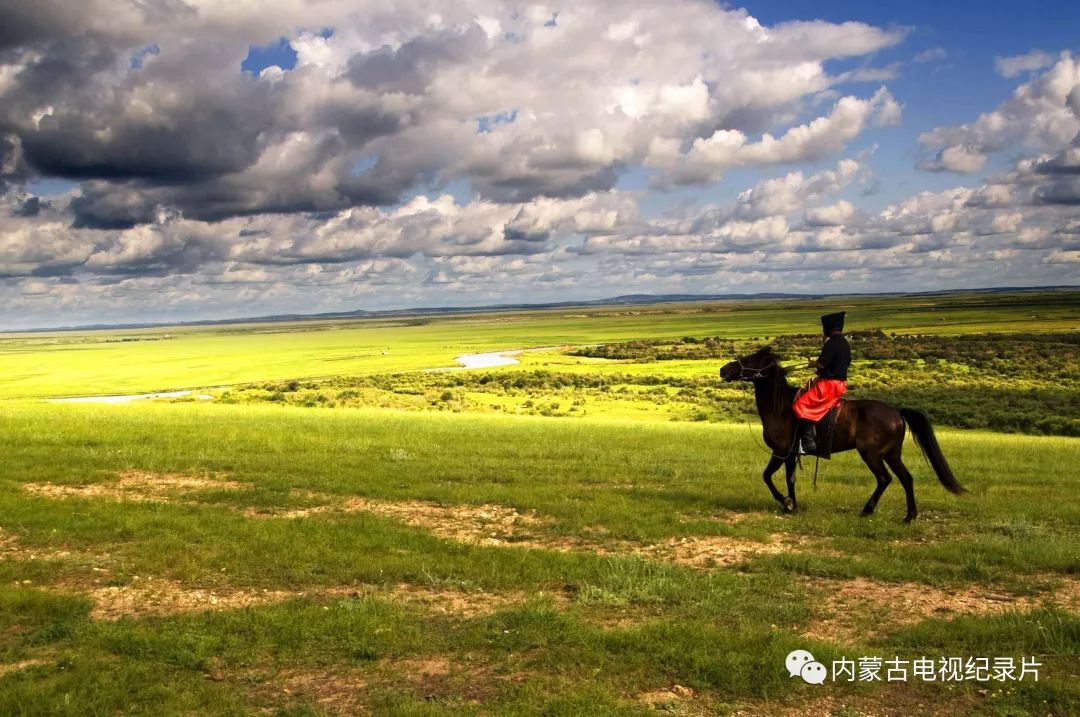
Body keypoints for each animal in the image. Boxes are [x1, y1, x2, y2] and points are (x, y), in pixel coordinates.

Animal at [721, 345, 967, 520]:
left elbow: (770, 477)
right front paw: (791, 505)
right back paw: (909, 516)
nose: (724, 370)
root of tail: (897, 411)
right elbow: (787, 479)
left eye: (749, 360)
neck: (780, 407)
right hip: (891, 454)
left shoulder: (781, 452)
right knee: (905, 478)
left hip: (871, 454)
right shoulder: (789, 455)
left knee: (884, 478)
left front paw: (787, 503)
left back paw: (868, 510)